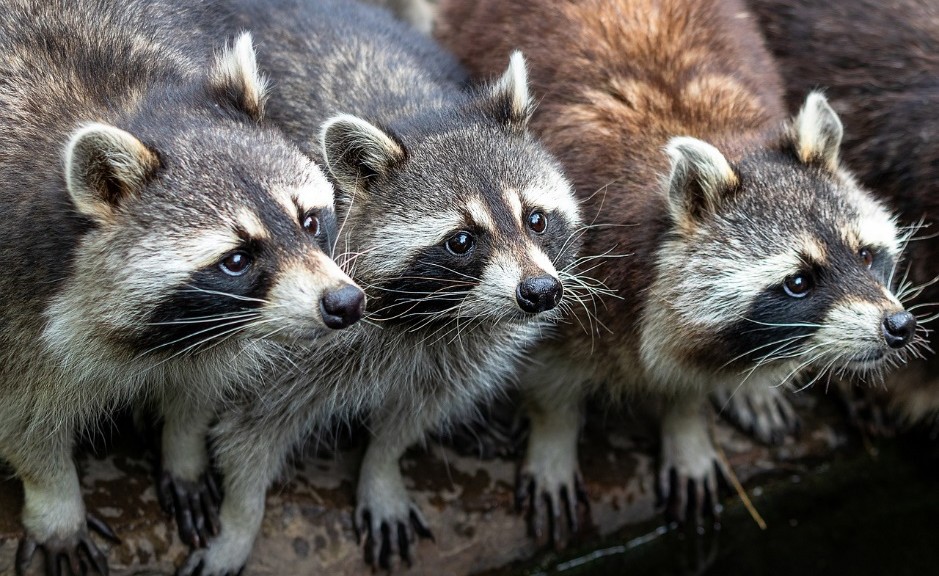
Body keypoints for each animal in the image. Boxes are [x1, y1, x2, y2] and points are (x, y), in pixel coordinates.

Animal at [0, 2, 364, 572]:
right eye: (236, 260)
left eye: (308, 221)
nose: (345, 303)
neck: (124, 103)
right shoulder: (16, 288)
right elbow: (23, 416)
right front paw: (56, 501)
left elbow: (200, 382)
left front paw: (184, 446)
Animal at [167, 1, 580, 576]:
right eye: (461, 240)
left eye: (536, 219)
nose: (540, 292)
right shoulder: (277, 339)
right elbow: (247, 434)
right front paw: (240, 522)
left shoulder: (456, 350)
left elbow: (412, 415)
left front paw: (381, 469)